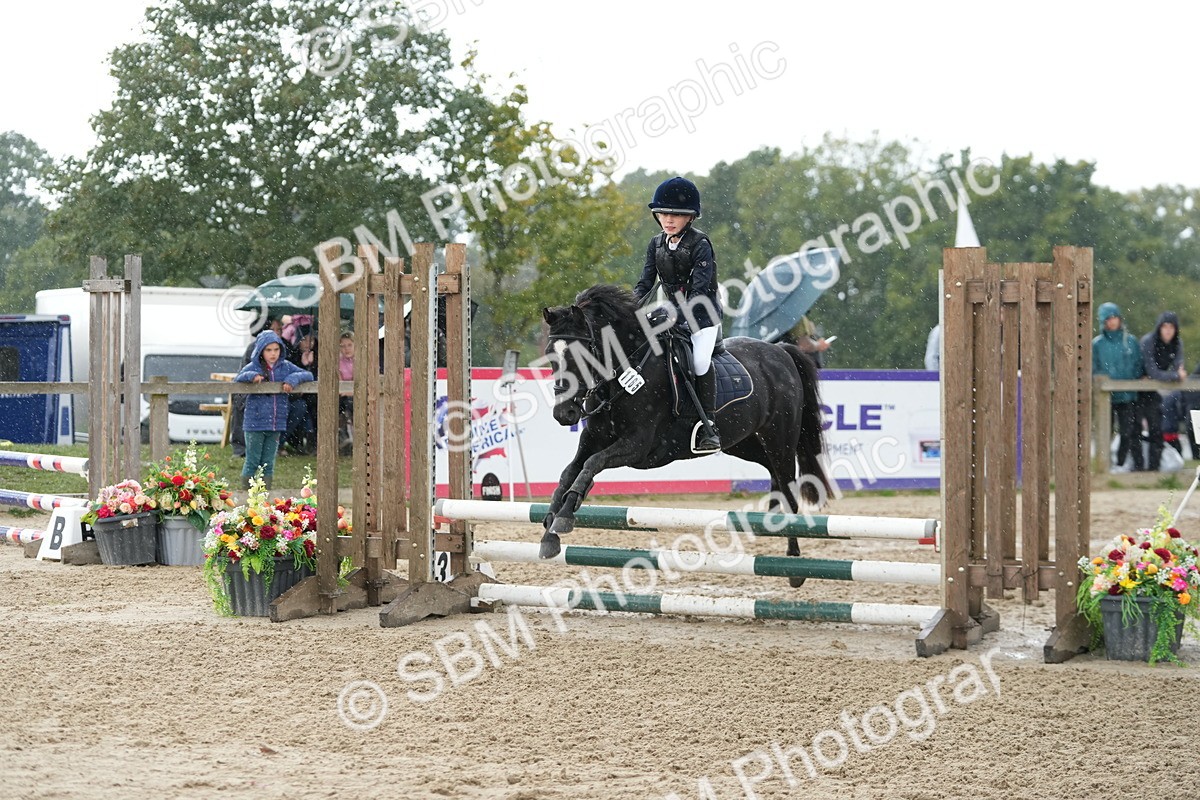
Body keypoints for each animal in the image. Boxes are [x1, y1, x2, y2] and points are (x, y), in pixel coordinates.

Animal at [538, 284, 832, 583]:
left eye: (579, 354)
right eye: (551, 355)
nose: (564, 414)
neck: (627, 369)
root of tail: (781, 351)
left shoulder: (639, 446)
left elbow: (591, 464)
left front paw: (564, 516)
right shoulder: (594, 439)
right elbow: (570, 472)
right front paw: (551, 530)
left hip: (779, 439)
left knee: (789, 489)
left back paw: (793, 563)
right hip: (743, 443)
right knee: (774, 475)